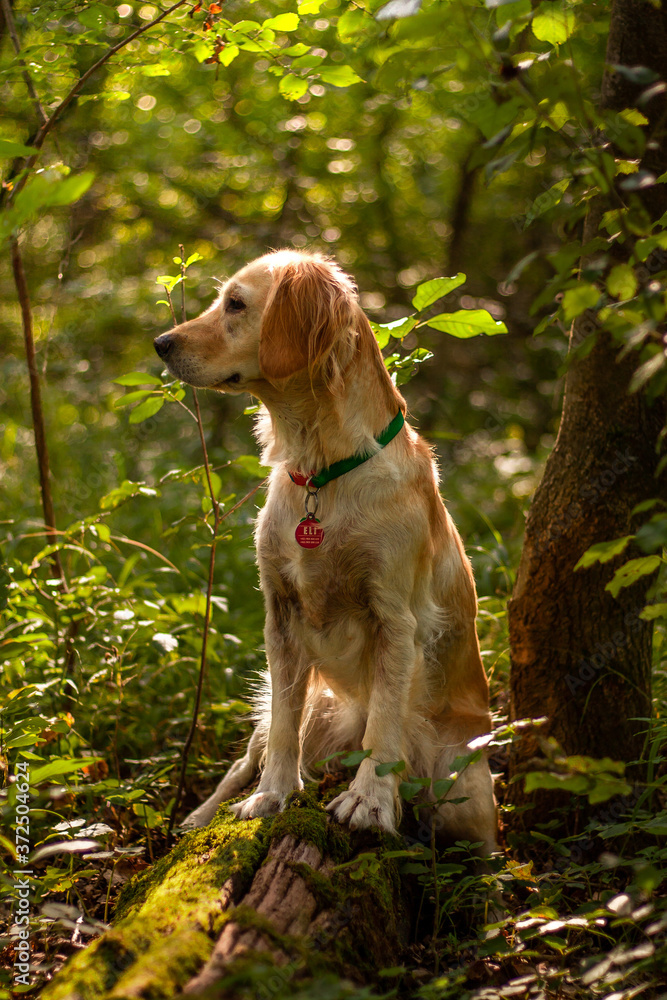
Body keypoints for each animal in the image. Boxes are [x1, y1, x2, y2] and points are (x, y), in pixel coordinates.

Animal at [157, 250, 498, 852]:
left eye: (235, 304)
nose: (161, 342)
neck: (322, 471)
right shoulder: (281, 616)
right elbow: (282, 729)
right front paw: (271, 796)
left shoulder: (396, 620)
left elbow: (384, 725)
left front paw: (369, 802)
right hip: (314, 705)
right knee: (248, 754)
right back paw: (201, 816)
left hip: (467, 792)